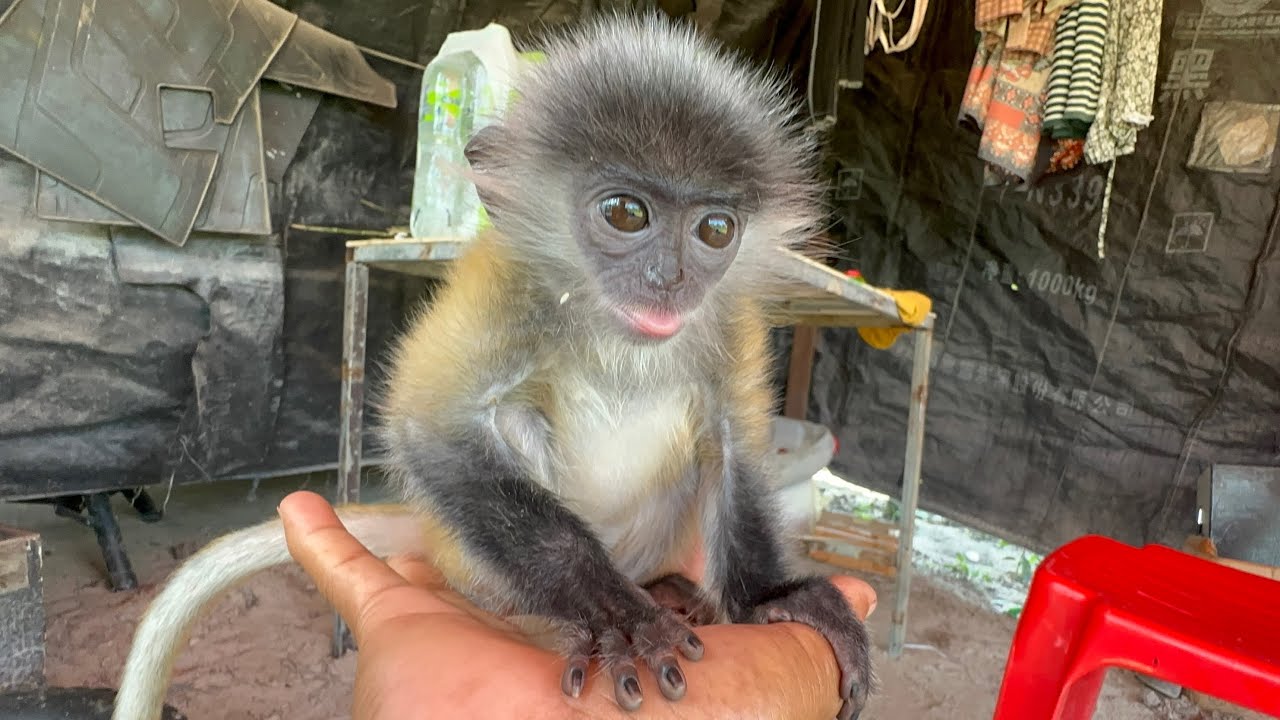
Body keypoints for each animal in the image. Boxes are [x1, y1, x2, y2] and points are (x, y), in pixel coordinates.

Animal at [111, 12, 872, 720]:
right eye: (627, 213)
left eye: (715, 229)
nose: (670, 279)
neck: (615, 334)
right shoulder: (501, 283)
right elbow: (431, 424)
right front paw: (612, 615)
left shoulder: (730, 318)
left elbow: (734, 441)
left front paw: (771, 598)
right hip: (472, 560)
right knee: (511, 422)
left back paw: (667, 588)